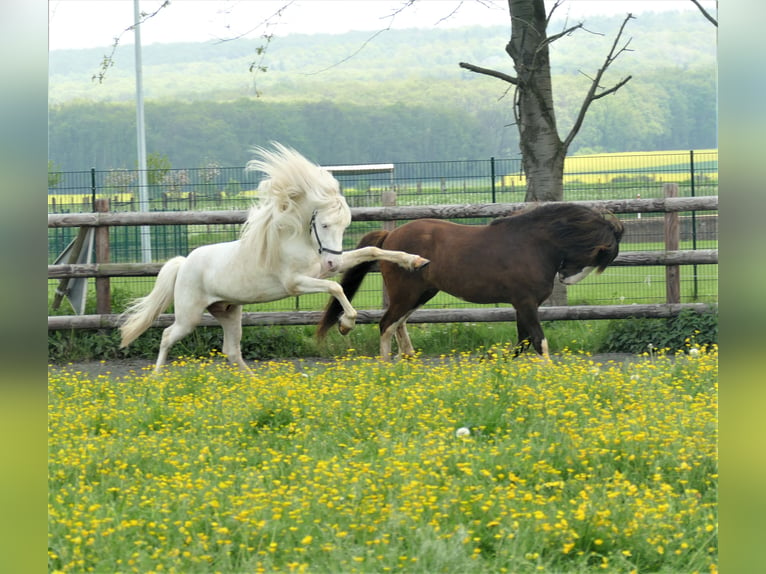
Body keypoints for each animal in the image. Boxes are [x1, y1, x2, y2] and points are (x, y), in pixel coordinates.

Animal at [121, 145, 432, 374]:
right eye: (325, 225)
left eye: (344, 226)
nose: (332, 264)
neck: (294, 239)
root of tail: (183, 262)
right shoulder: (297, 283)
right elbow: (336, 287)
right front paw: (346, 324)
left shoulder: (320, 269)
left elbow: (371, 253)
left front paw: (415, 260)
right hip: (190, 315)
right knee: (167, 336)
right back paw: (157, 380)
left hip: (228, 311)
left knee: (231, 350)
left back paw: (254, 383)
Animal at [318, 204, 624, 360]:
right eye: (600, 254)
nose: (565, 277)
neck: (533, 245)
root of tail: (390, 236)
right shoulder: (525, 303)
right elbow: (539, 342)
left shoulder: (521, 305)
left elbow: (523, 342)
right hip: (407, 294)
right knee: (386, 324)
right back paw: (386, 368)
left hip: (422, 294)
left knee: (398, 324)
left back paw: (409, 363)